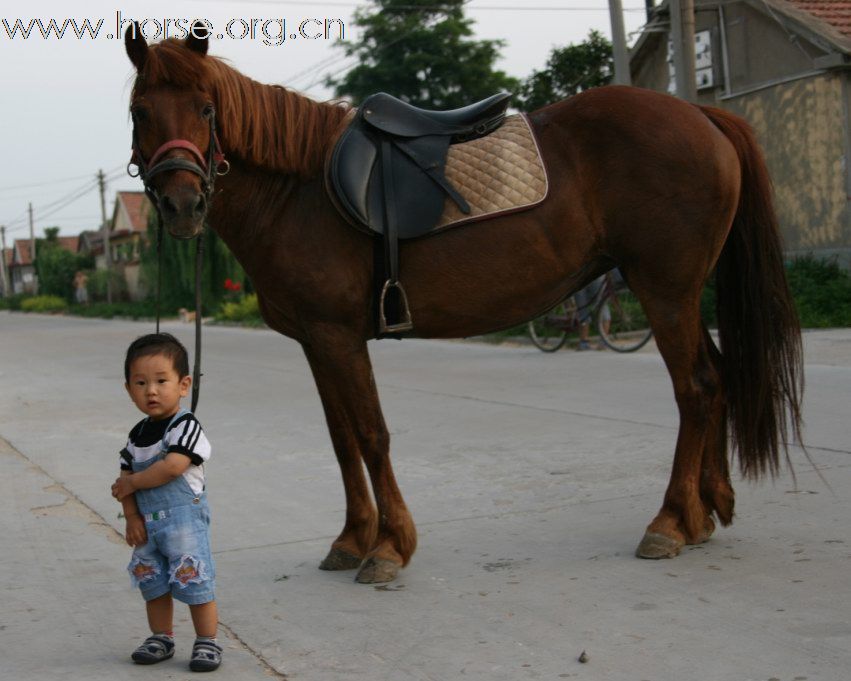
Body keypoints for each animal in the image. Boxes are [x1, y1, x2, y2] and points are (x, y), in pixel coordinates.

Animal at [123, 29, 804, 584]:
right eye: (139, 110)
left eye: (207, 108)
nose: (182, 204)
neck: (299, 190)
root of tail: (700, 114)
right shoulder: (318, 340)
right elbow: (341, 439)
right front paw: (352, 539)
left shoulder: (339, 336)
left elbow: (371, 434)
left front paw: (389, 548)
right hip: (680, 294)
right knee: (718, 377)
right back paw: (705, 512)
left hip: (665, 291)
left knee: (696, 388)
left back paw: (668, 521)